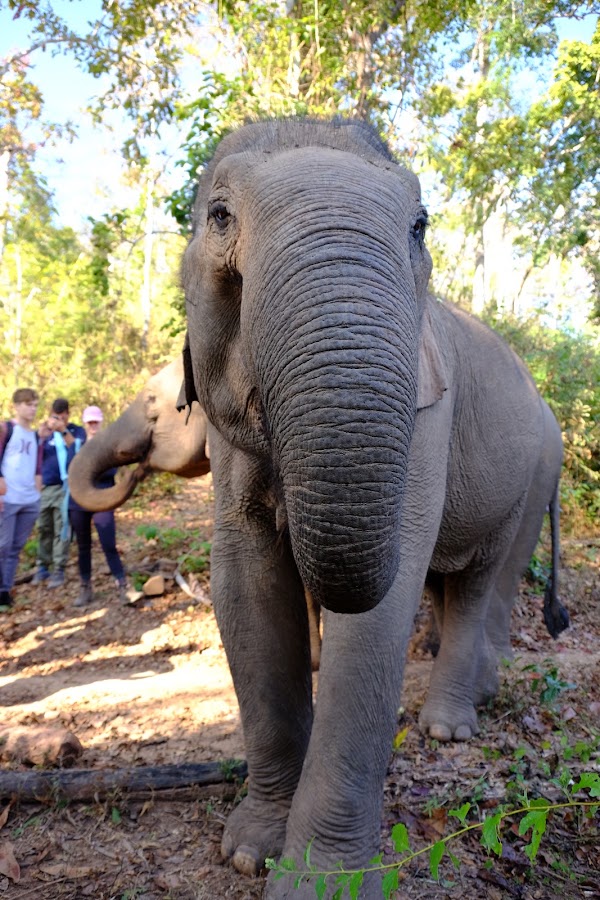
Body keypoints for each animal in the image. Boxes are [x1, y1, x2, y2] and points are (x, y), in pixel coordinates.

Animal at [178, 116, 569, 896]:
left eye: (420, 226)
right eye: (220, 216)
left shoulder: (428, 410)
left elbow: (385, 601)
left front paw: (316, 884)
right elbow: (244, 582)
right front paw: (250, 851)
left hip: (532, 475)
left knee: (482, 580)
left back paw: (451, 725)